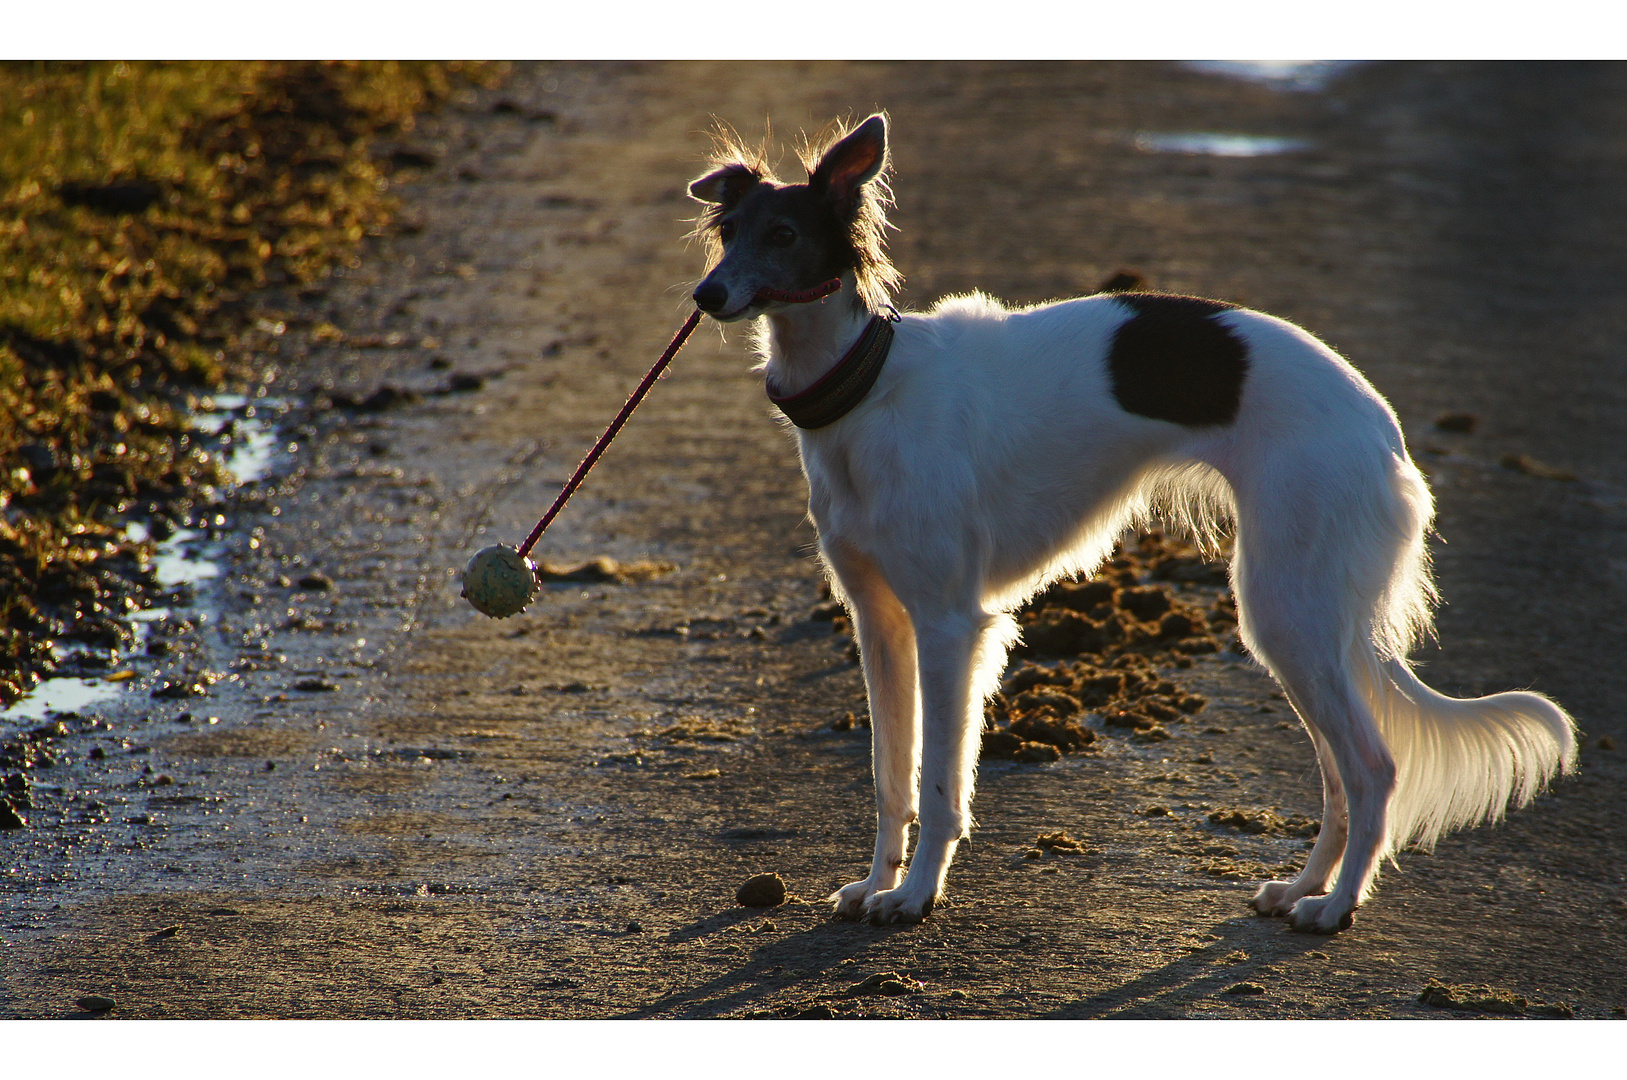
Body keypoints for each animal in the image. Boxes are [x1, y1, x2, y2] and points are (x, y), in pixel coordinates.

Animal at [686, 113, 1574, 930]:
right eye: (728, 232)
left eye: (785, 233)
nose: (706, 295)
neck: (867, 390)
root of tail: (1380, 428)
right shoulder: (879, 619)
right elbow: (888, 774)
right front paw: (875, 883)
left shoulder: (947, 622)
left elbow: (937, 781)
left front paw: (914, 895)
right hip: (1293, 621)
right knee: (1335, 772)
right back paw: (1301, 887)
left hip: (1288, 606)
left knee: (1372, 767)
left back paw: (1335, 905)